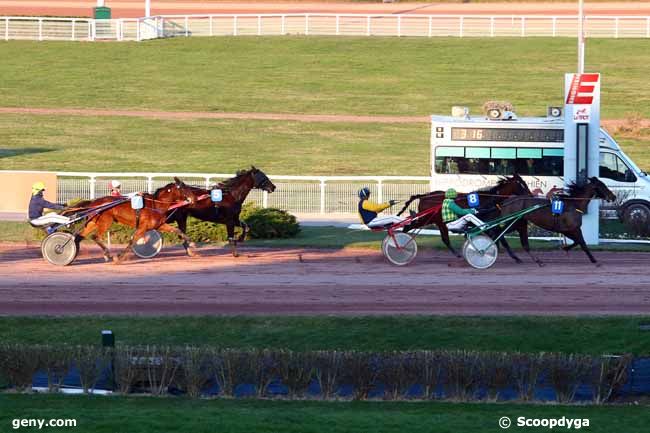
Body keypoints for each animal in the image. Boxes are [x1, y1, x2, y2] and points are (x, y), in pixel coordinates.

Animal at [64, 178, 200, 264]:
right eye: (184, 189)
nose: (194, 199)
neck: (156, 204)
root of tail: (93, 203)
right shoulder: (142, 227)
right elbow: (132, 241)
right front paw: (118, 258)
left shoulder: (159, 225)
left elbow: (177, 230)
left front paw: (193, 245)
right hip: (105, 221)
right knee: (95, 236)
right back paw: (107, 254)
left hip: (92, 222)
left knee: (79, 237)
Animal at [394, 174, 532, 262]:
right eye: (522, 184)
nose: (531, 195)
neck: (490, 200)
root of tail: (425, 195)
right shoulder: (489, 224)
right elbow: (501, 240)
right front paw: (515, 257)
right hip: (430, 219)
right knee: (409, 227)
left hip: (436, 221)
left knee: (441, 238)